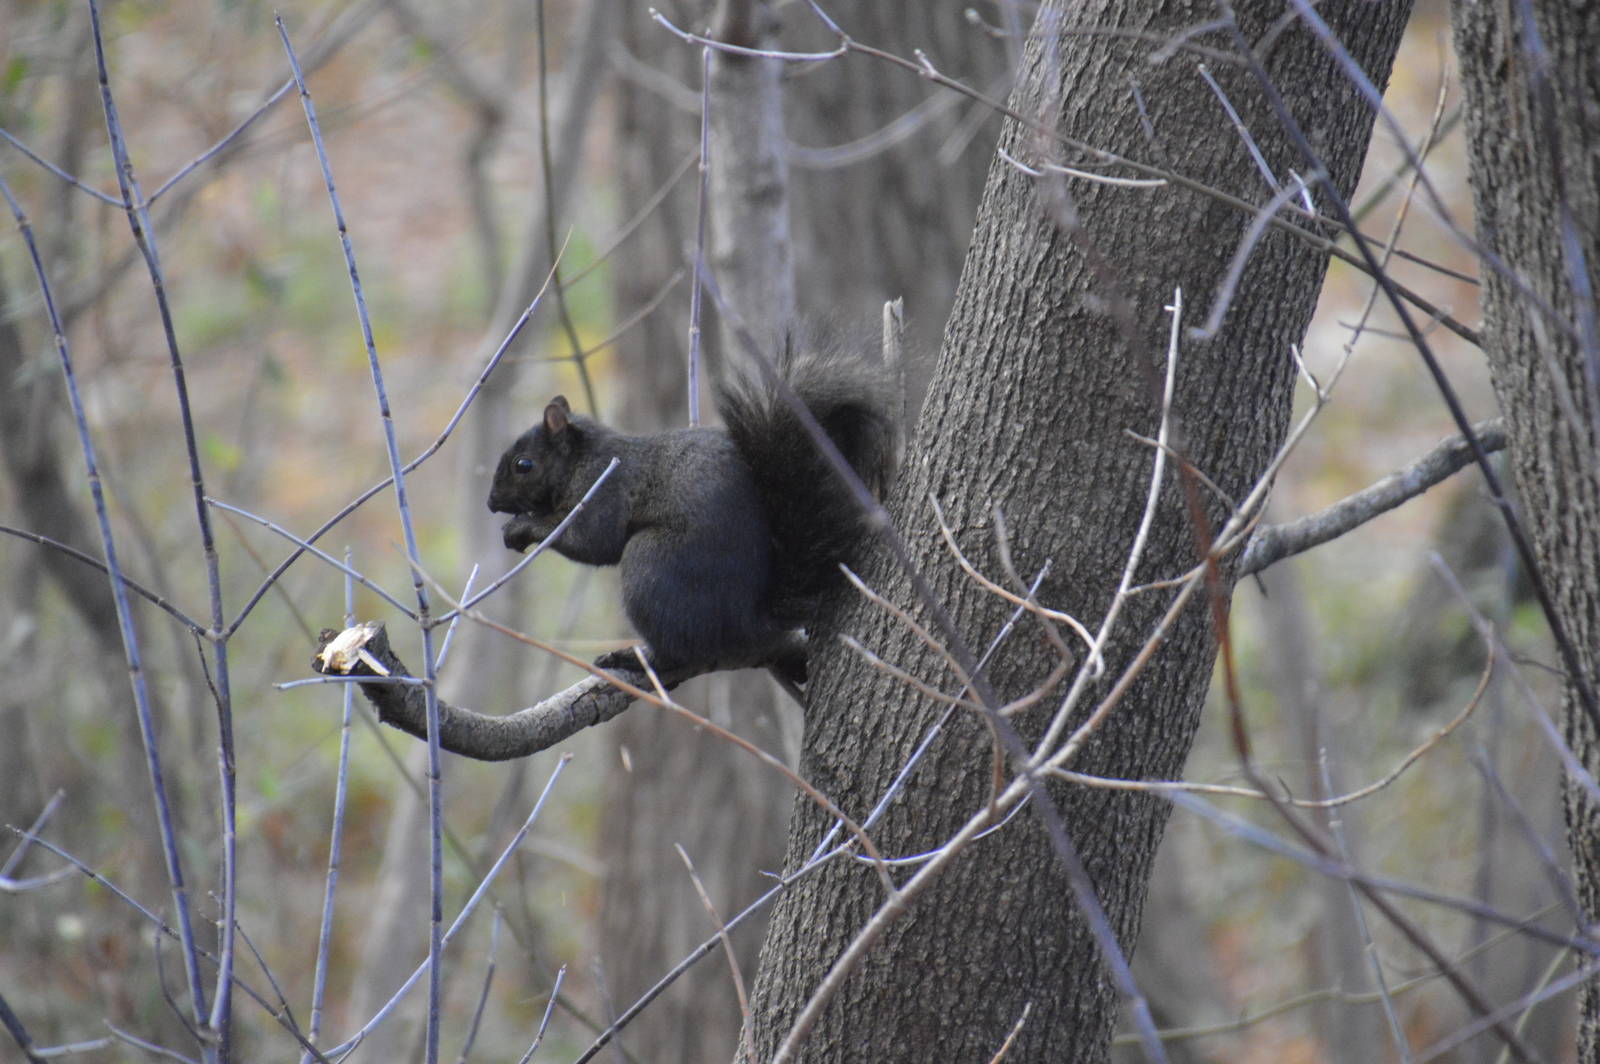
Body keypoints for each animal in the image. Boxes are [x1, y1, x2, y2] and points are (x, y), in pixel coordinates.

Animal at [486, 340, 898, 687]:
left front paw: (522, 527)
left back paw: (635, 658)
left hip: (649, 565)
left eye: (524, 465)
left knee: (678, 651)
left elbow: (592, 540)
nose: (490, 503)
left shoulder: (603, 487)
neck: (582, 459)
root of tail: (748, 618)